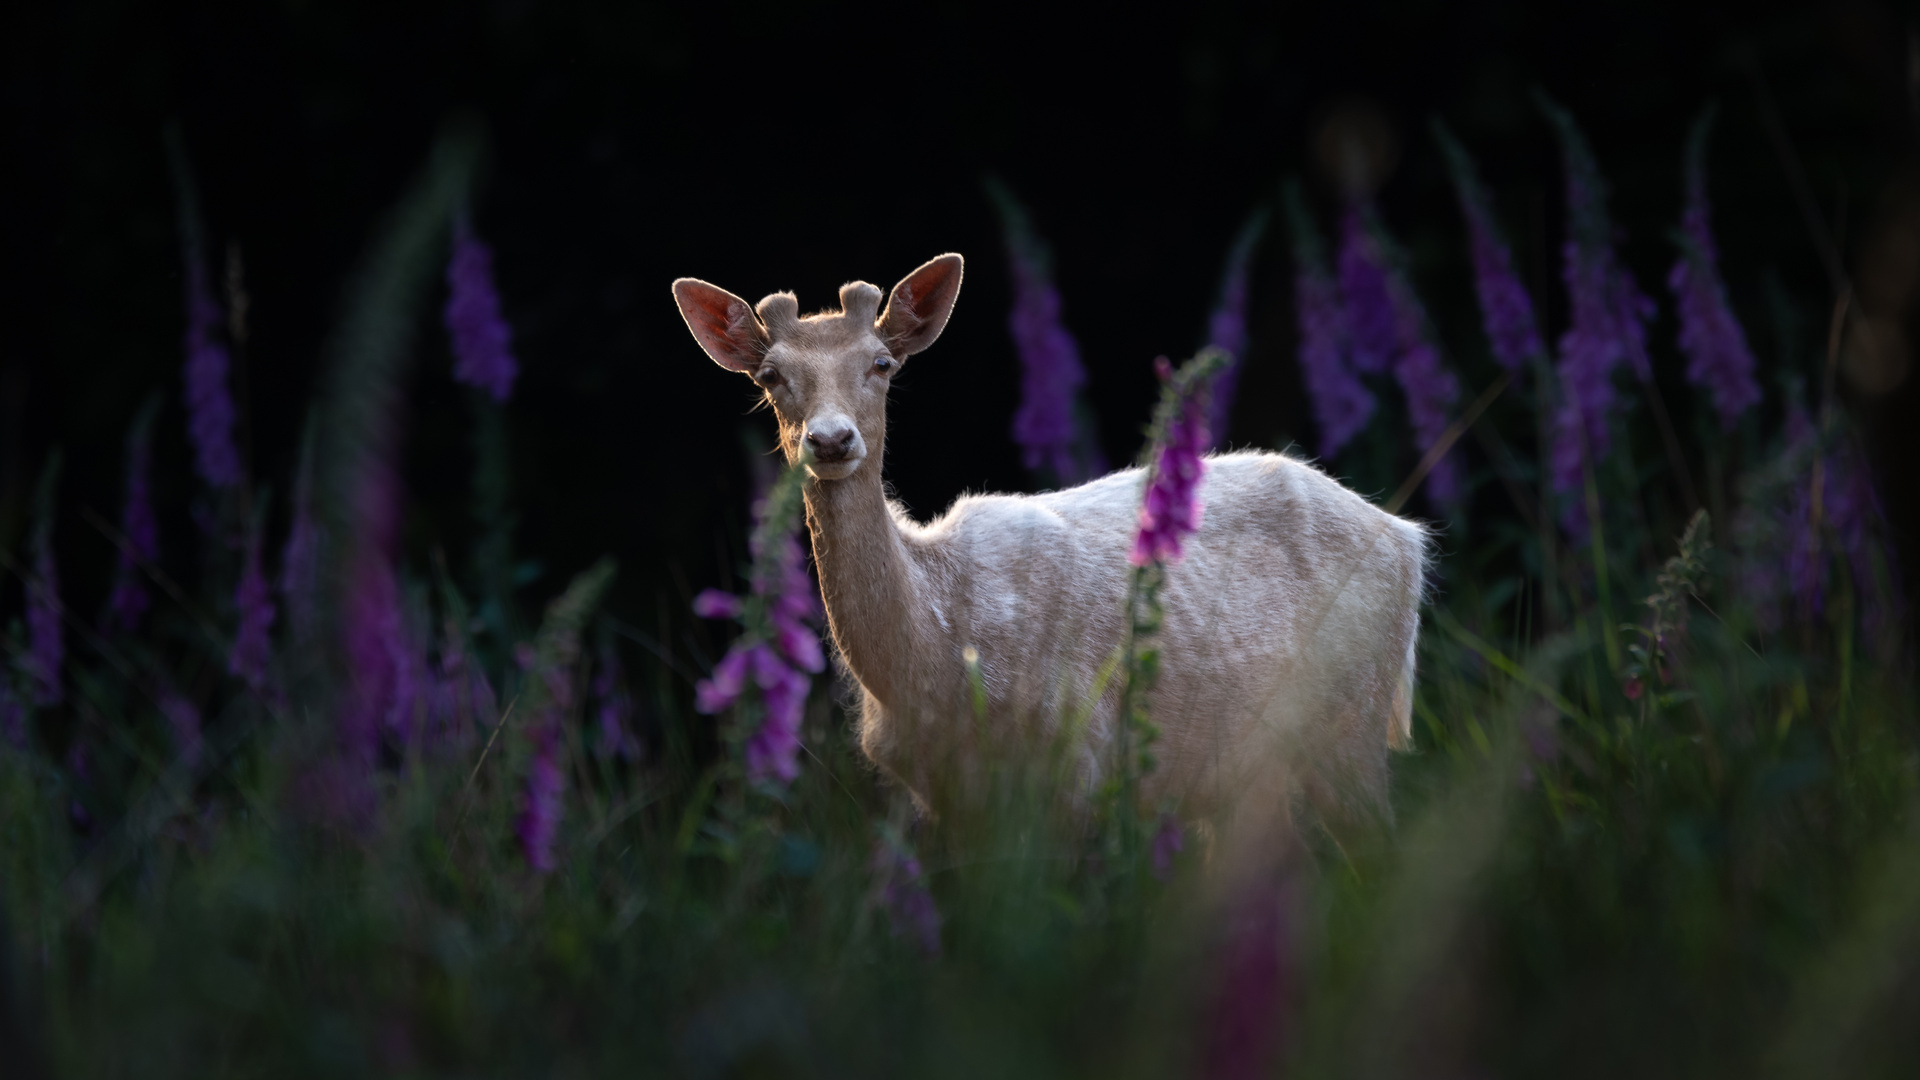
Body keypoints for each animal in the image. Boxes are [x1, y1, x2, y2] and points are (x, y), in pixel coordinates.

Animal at [675, 249, 1428, 841]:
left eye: (882, 363)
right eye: (770, 376)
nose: (831, 440)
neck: (934, 661)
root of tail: (1409, 539)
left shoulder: (1077, 760)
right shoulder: (944, 796)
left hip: (1353, 720)